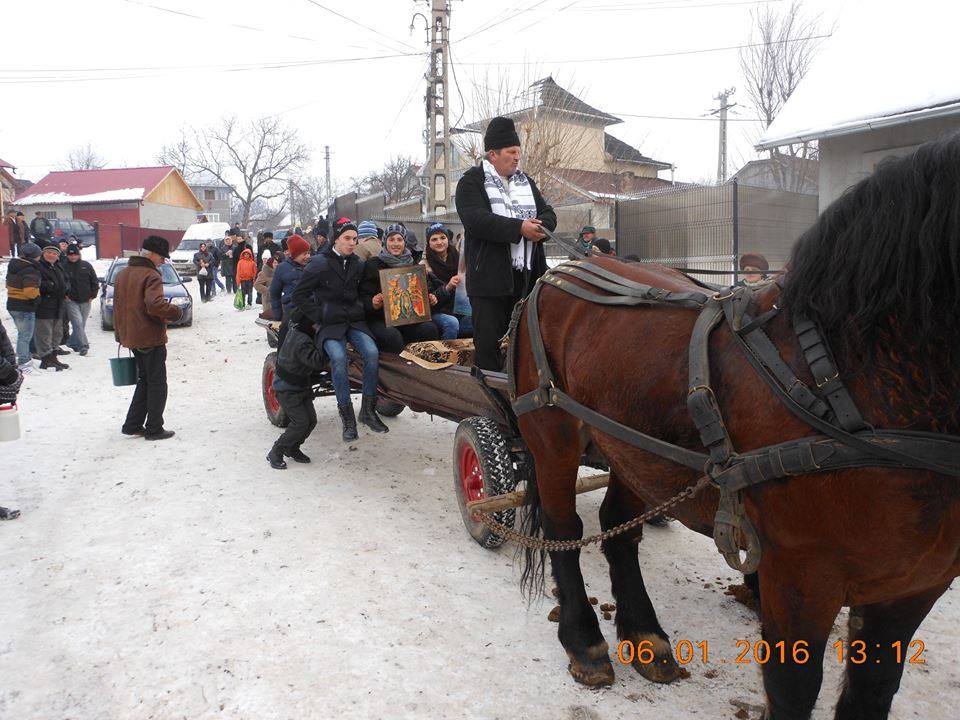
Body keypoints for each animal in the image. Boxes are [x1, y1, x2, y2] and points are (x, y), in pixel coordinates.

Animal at [512, 136, 960, 720]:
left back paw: (645, 634)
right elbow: (793, 688)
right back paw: (585, 640)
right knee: (563, 527)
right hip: (553, 434)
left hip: (637, 449)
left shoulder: (914, 587)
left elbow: (873, 690)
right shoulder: (800, 575)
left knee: (619, 529)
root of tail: (558, 272)